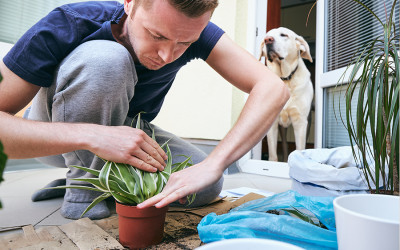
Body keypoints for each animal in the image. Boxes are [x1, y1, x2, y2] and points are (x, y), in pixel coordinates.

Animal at [260, 26, 314, 161]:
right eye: (266, 37)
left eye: (283, 35)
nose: (268, 40)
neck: (285, 79)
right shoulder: (272, 123)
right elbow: (273, 154)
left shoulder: (300, 122)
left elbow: (299, 148)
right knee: (284, 144)